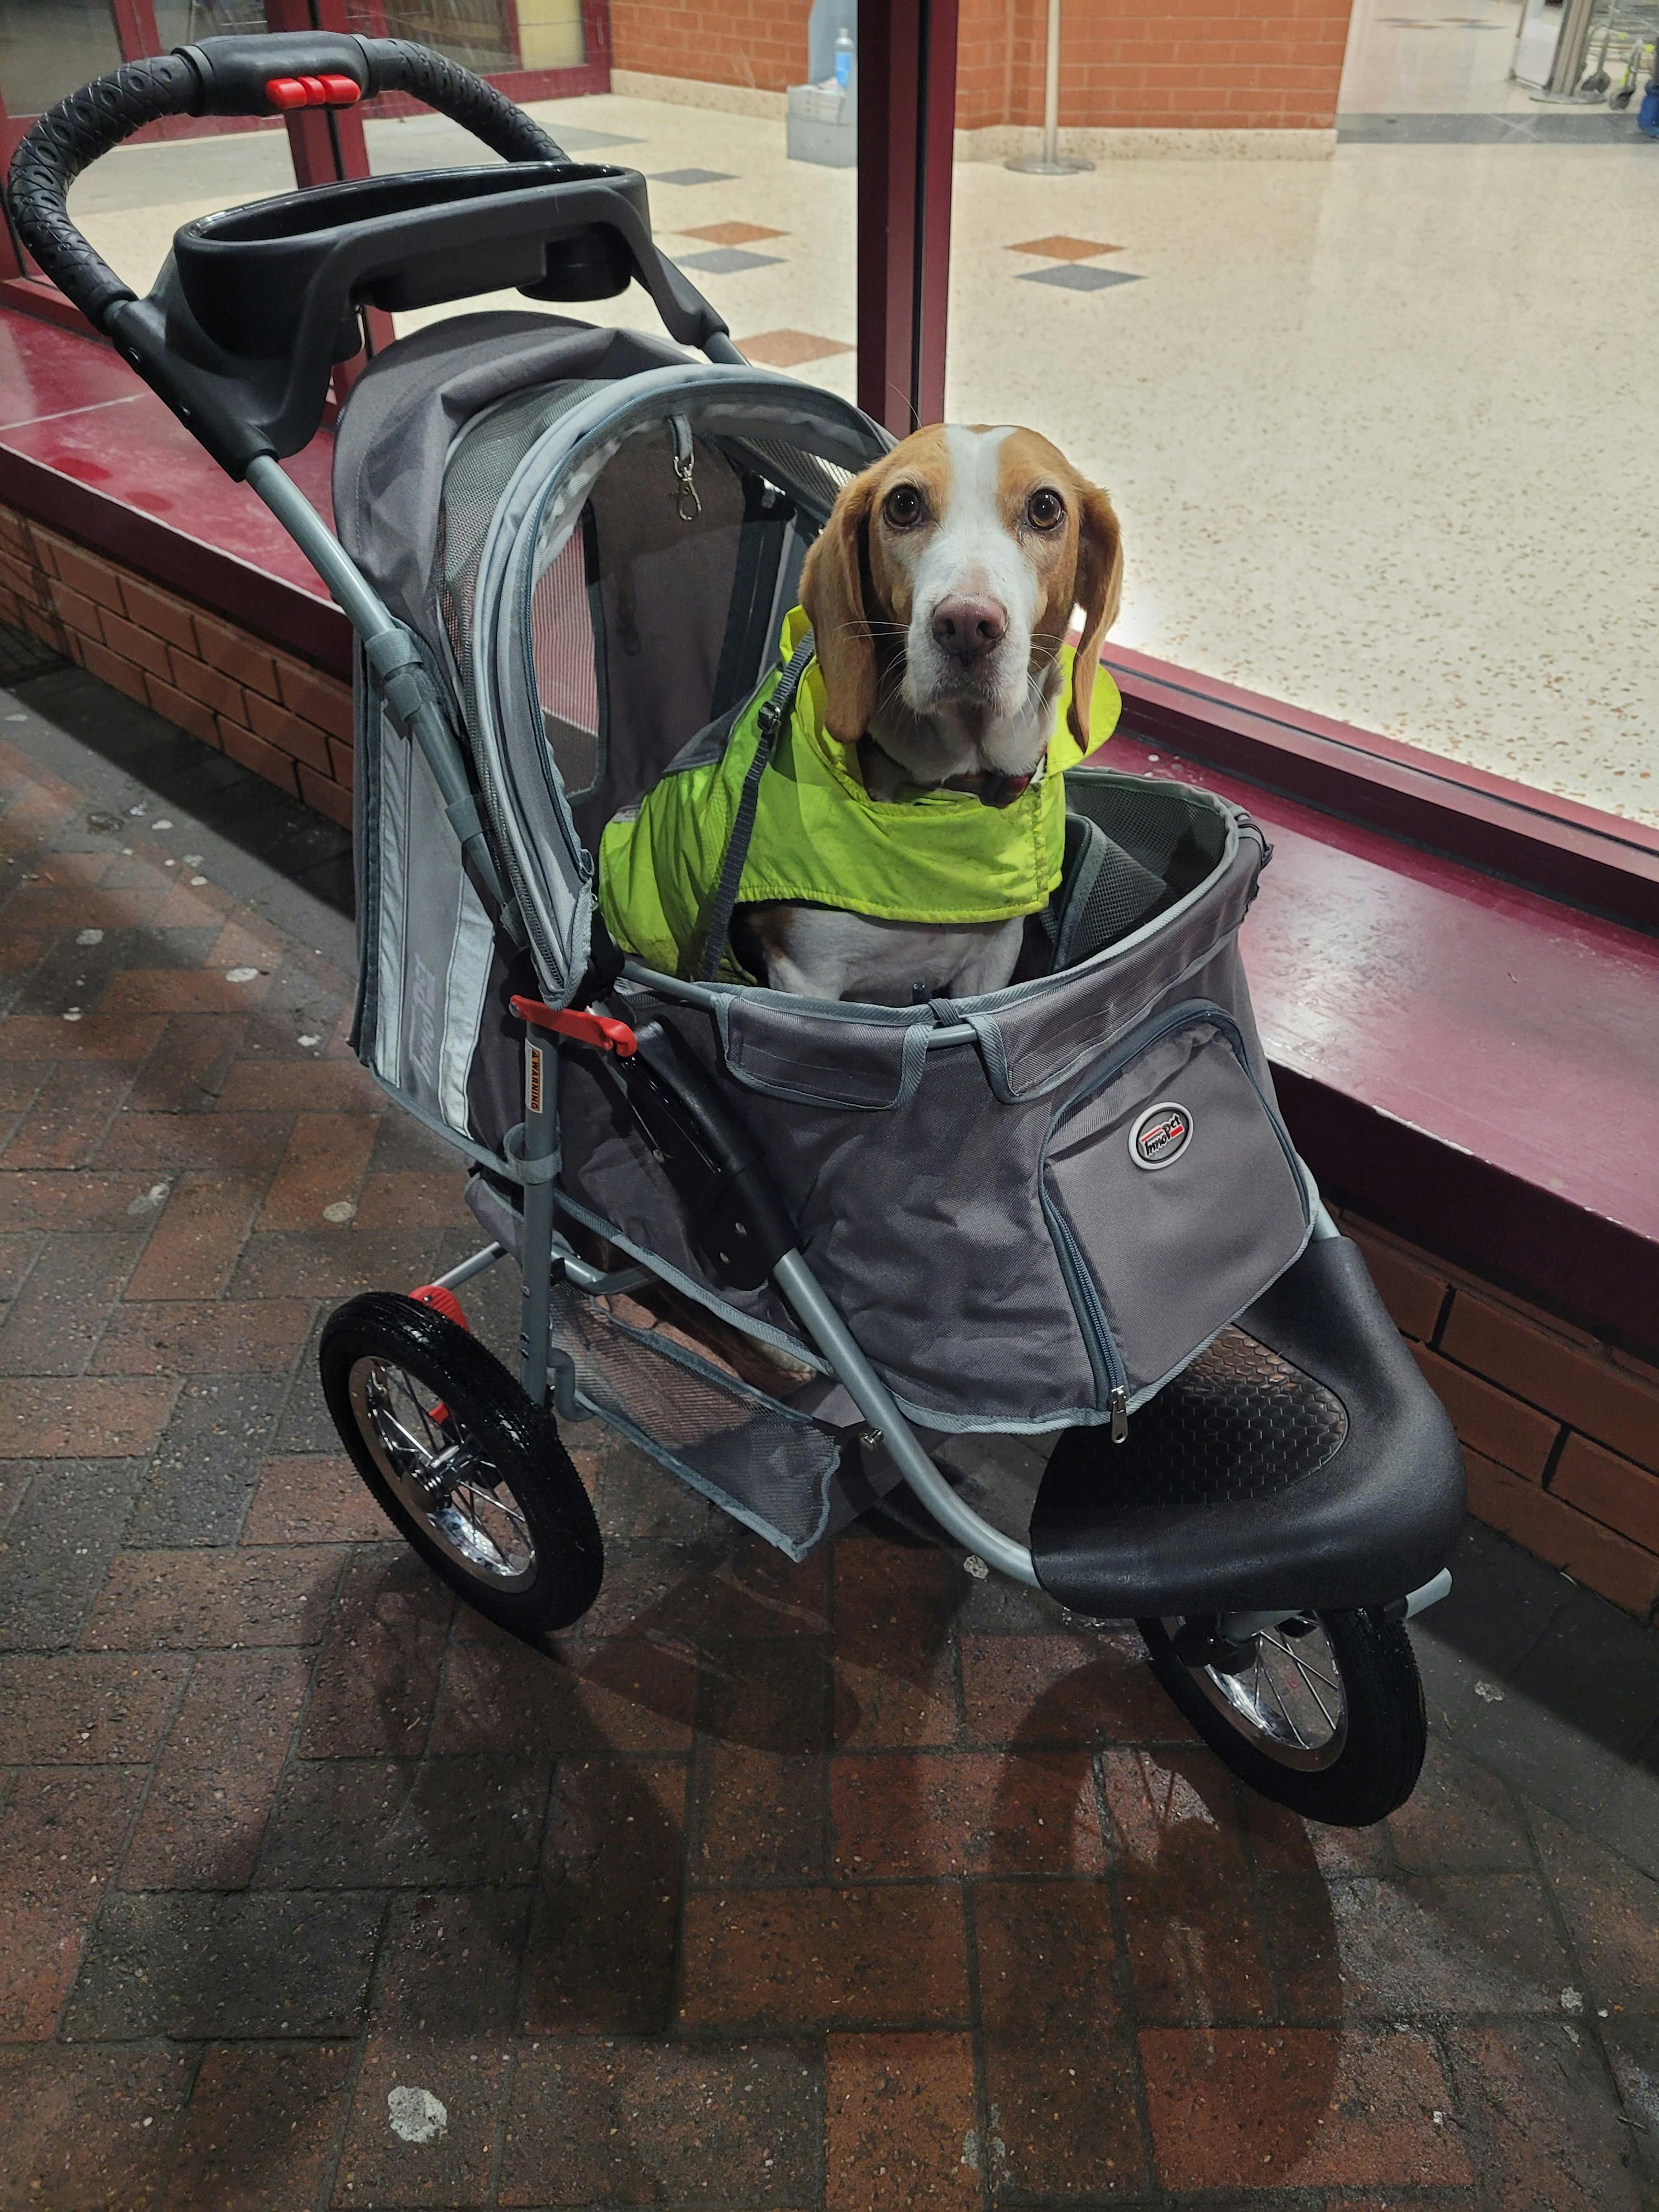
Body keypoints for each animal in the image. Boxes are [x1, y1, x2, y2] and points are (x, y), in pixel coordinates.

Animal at [743, 420, 1124, 1004]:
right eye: (903, 504)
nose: (967, 624)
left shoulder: (992, 961)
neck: (954, 787)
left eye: (1045, 508)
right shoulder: (805, 976)